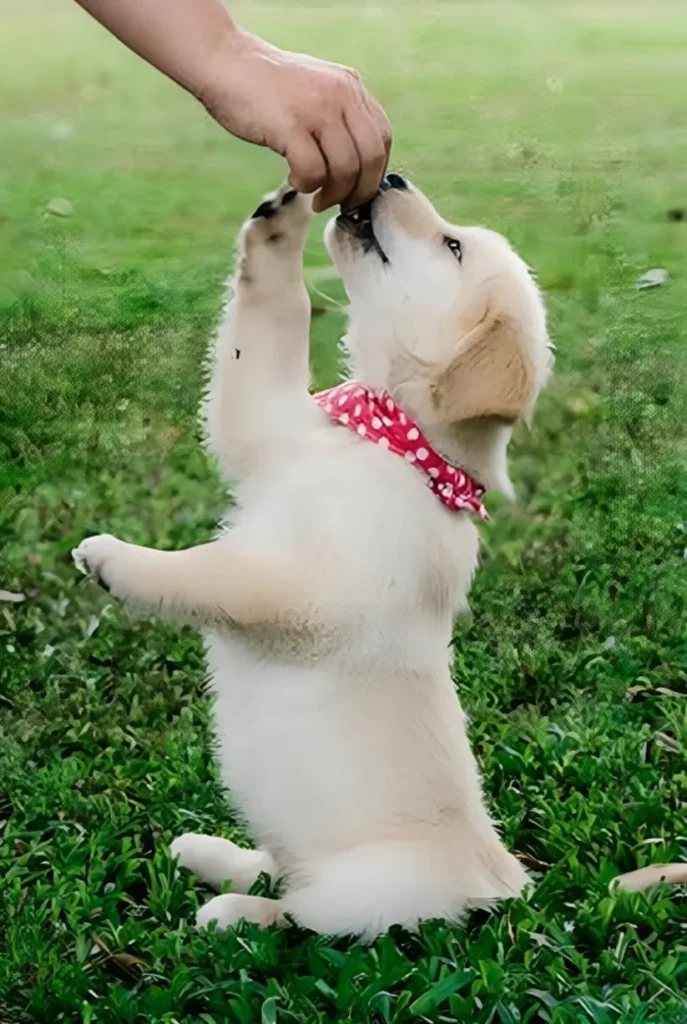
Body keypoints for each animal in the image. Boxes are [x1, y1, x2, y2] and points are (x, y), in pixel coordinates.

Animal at [71, 174, 552, 937]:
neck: (389, 439)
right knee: (280, 865)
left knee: (302, 916)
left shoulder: (307, 592)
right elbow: (272, 321)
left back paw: (233, 910)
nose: (391, 176)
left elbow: (214, 577)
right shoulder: (263, 424)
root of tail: (506, 885)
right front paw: (279, 222)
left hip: (369, 894)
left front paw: (119, 560)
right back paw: (210, 853)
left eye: (451, 247)